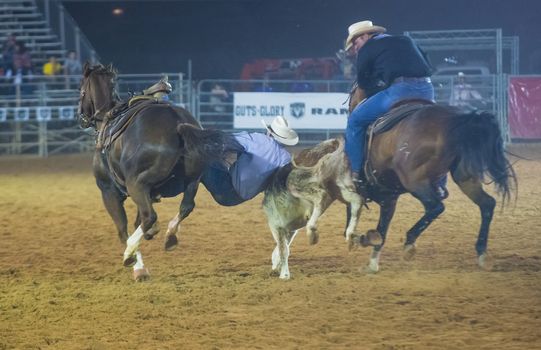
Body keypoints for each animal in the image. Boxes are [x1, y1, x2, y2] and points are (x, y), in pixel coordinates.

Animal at [77, 63, 238, 282]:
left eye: (81, 91)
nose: (81, 117)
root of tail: (178, 122)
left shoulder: (109, 192)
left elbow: (123, 229)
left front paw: (137, 264)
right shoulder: (147, 193)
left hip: (136, 184)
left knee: (149, 217)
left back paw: (131, 255)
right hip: (192, 180)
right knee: (186, 207)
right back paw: (170, 236)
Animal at [346, 86, 516, 272]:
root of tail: (454, 121)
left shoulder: (381, 197)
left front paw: (361, 240)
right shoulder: (389, 198)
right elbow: (382, 230)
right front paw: (372, 263)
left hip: (415, 181)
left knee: (436, 207)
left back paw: (409, 242)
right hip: (465, 178)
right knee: (487, 204)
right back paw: (482, 253)